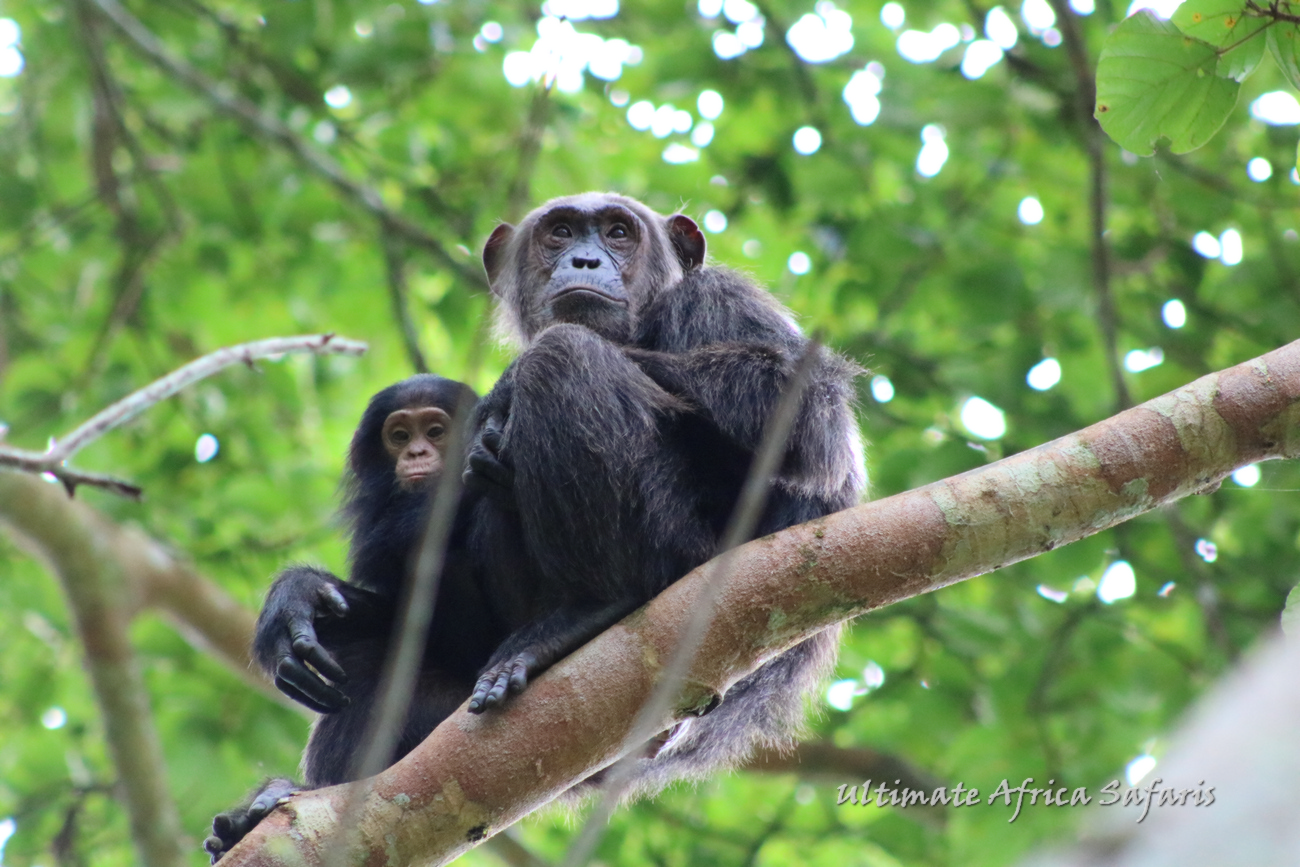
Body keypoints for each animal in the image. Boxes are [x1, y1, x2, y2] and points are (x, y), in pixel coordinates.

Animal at [465, 191, 863, 800]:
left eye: (618, 232)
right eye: (560, 232)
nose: (584, 259)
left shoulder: (721, 299)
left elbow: (805, 412)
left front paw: (504, 385)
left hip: (680, 548)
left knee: (563, 354)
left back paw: (584, 613)